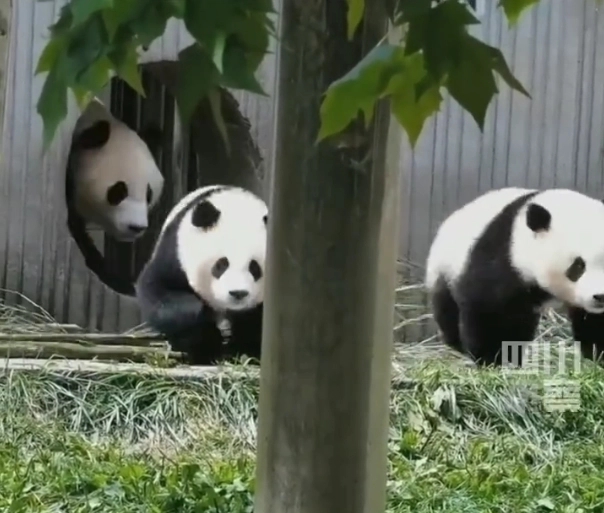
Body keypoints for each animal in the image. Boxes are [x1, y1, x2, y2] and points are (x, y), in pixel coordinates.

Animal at [424, 186, 604, 366]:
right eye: (578, 265)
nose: (600, 296)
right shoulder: (502, 257)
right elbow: (489, 308)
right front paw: (492, 359)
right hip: (444, 267)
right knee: (447, 309)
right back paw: (457, 344)